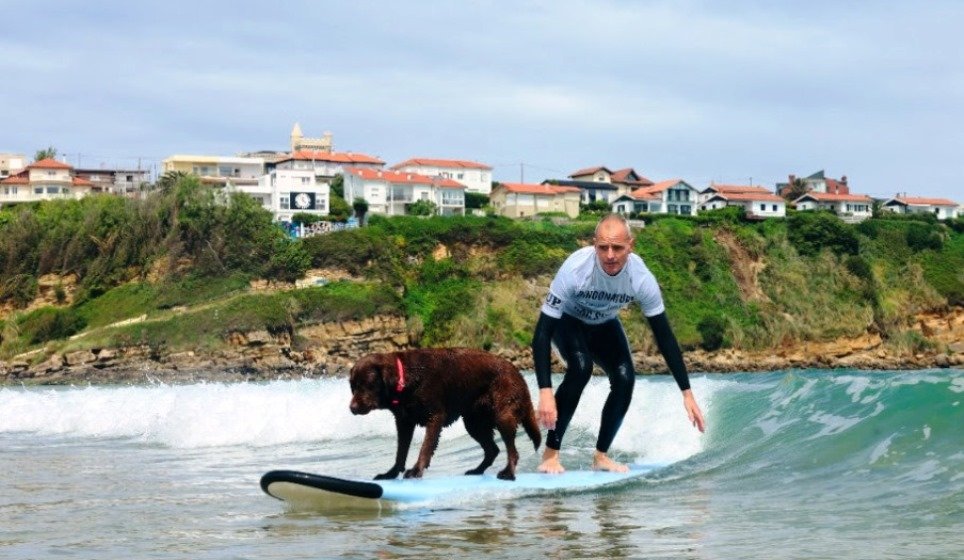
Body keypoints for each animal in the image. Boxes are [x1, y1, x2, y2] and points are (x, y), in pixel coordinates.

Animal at [348, 346, 544, 482]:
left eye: (367, 384)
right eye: (353, 386)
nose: (352, 408)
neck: (407, 378)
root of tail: (517, 372)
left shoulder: (434, 417)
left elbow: (426, 446)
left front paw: (416, 470)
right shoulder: (404, 423)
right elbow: (400, 452)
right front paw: (391, 473)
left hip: (503, 415)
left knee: (512, 451)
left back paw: (508, 472)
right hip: (473, 423)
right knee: (493, 449)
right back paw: (476, 470)